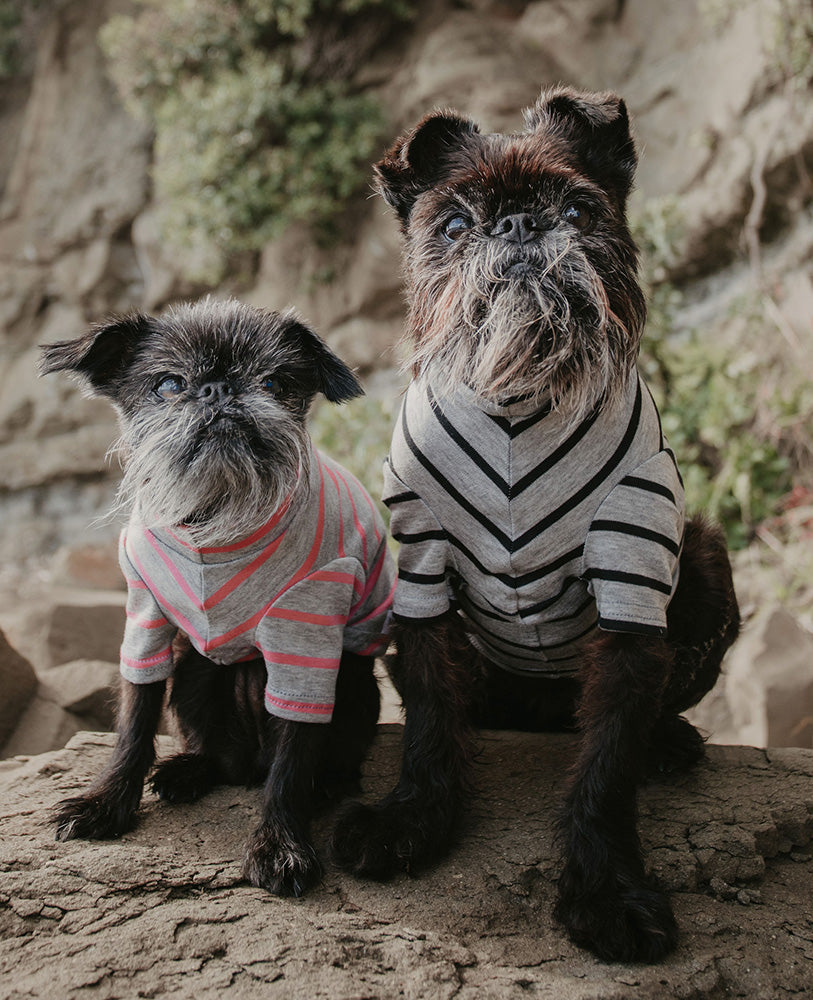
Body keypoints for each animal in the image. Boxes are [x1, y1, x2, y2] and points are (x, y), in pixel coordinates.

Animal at [39, 298, 394, 900]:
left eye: (275, 383)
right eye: (168, 385)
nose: (219, 388)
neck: (218, 514)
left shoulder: (308, 639)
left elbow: (293, 756)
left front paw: (280, 844)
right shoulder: (146, 621)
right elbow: (134, 722)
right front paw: (105, 804)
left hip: (352, 683)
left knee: (301, 761)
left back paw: (325, 786)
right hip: (195, 674)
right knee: (219, 757)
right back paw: (188, 771)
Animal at [334, 88, 740, 960]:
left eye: (578, 209)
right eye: (455, 225)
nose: (519, 226)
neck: (518, 400)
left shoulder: (631, 582)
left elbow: (607, 761)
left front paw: (605, 889)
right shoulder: (420, 574)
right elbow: (429, 712)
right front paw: (414, 819)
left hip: (704, 556)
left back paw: (669, 743)